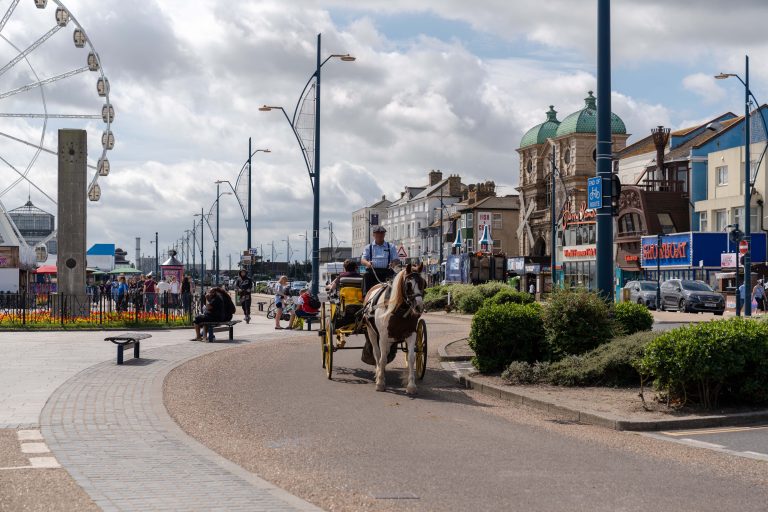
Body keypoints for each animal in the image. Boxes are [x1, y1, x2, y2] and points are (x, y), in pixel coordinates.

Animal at [364, 262, 428, 394]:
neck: (397, 309)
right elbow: (382, 358)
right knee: (377, 354)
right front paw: (380, 383)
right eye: (408, 284)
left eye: (423, 283)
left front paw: (411, 385)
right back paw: (378, 373)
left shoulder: (411, 334)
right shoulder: (383, 336)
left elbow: (411, 358)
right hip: (372, 332)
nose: (419, 307)